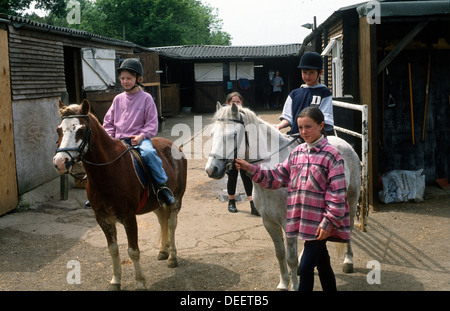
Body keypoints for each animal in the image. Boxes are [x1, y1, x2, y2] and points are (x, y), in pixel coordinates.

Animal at [53, 100, 187, 292]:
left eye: (81, 130)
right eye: (59, 130)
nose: (60, 162)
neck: (109, 170)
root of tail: (174, 146)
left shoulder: (128, 217)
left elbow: (133, 251)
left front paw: (140, 282)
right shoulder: (103, 219)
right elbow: (113, 250)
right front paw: (115, 281)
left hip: (176, 201)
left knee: (171, 224)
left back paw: (172, 258)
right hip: (156, 204)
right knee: (162, 221)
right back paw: (163, 251)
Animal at [206, 103, 360, 292]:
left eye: (233, 135)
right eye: (212, 134)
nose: (211, 170)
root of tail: (345, 144)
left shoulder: (288, 223)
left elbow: (290, 258)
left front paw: (294, 286)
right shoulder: (269, 222)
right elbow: (280, 254)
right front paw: (282, 283)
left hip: (351, 201)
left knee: (349, 227)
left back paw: (348, 261)